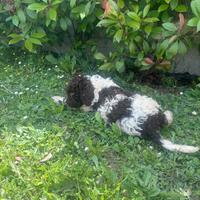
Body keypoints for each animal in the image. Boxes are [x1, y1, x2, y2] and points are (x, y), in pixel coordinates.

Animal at [52, 74, 199, 154]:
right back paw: (168, 115)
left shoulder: (86, 107)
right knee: (166, 118)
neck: (96, 87)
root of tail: (151, 123)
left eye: (72, 94)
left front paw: (57, 99)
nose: (69, 101)